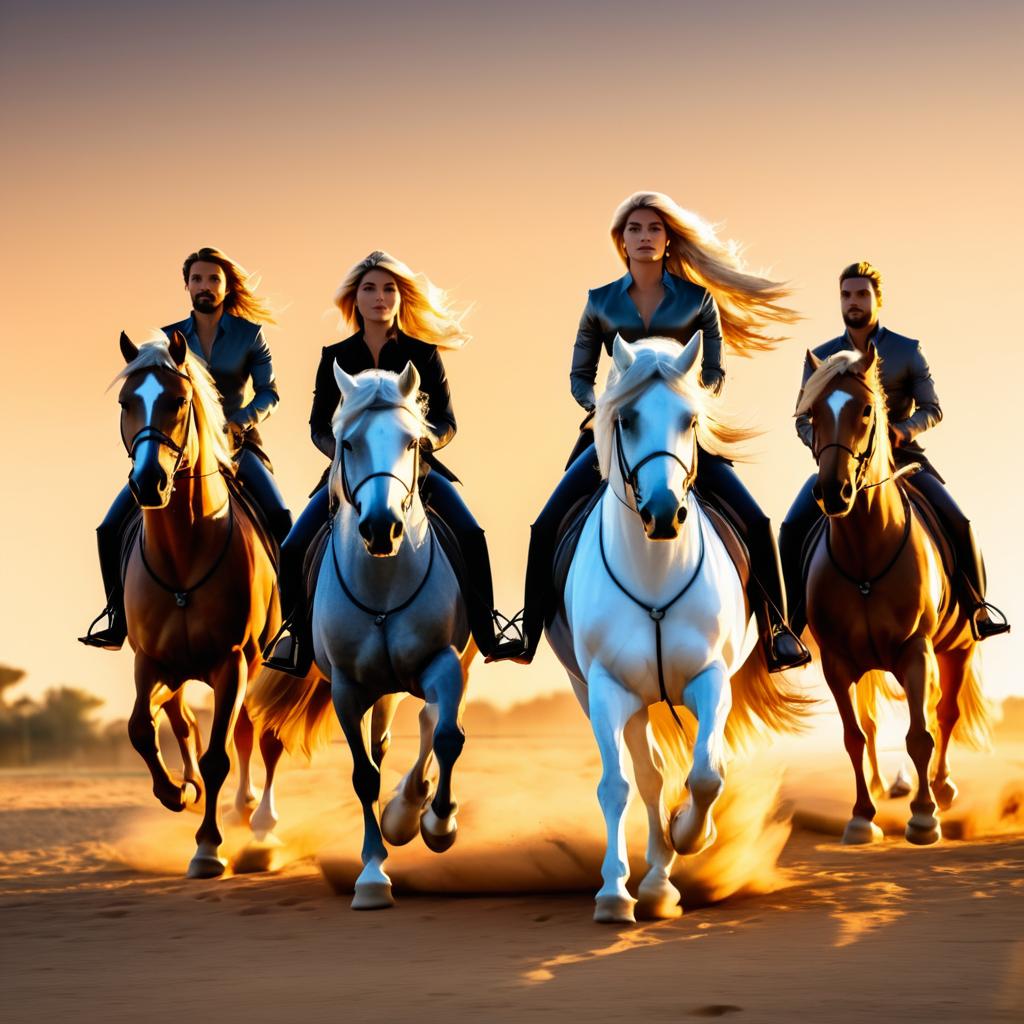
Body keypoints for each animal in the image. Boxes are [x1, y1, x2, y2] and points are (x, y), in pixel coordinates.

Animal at [114, 331, 286, 876]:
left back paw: (260, 822)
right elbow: (141, 729)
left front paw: (208, 848)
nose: (149, 482)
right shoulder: (150, 661)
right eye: (127, 402)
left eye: (177, 400)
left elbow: (218, 757)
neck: (183, 557)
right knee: (186, 723)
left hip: (258, 664)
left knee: (259, 737)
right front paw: (176, 792)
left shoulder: (232, 663)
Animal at [548, 333, 802, 921]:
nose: (664, 514)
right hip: (612, 696)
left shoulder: (710, 679)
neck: (655, 573)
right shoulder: (606, 688)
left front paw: (692, 834)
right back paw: (654, 884)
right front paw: (613, 893)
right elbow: (617, 786)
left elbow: (707, 772)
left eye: (690, 419)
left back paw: (665, 875)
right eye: (627, 418)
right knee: (647, 777)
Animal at [798, 344, 991, 847]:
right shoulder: (837, 663)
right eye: (813, 413)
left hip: (958, 648)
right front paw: (862, 817)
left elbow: (921, 734)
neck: (867, 552)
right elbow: (854, 737)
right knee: (875, 725)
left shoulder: (915, 651)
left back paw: (942, 789)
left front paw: (923, 818)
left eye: (867, 410)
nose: (834, 492)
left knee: (945, 714)